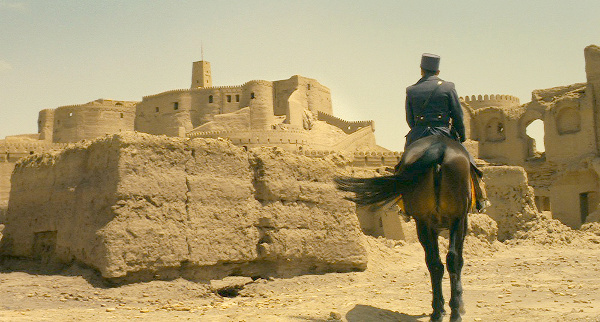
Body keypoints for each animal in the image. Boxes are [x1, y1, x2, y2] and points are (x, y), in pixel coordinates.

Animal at [336, 135, 472, 320]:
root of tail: (438, 148)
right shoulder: (460, 222)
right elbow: (459, 260)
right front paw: (459, 303)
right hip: (454, 218)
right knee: (452, 259)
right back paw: (455, 311)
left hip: (423, 222)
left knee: (434, 263)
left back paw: (437, 311)